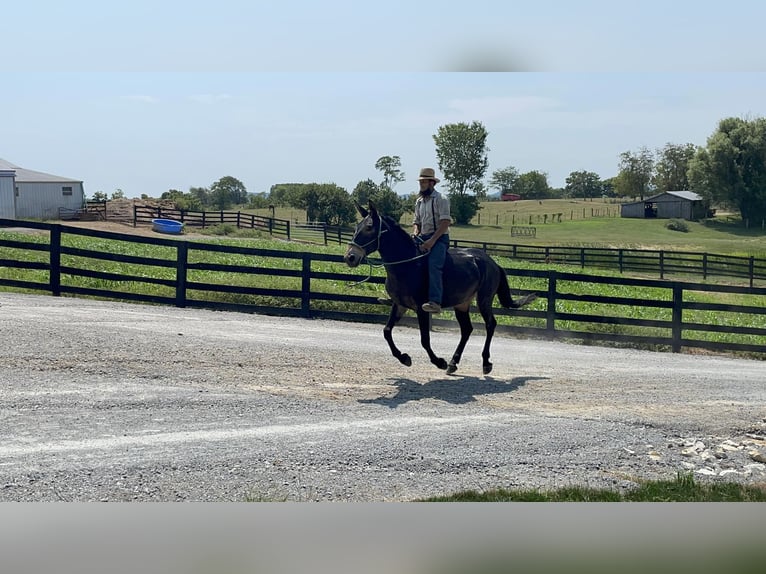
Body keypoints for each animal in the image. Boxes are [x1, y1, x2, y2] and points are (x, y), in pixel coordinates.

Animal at [344, 202, 537, 375]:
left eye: (369, 227)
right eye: (357, 226)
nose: (350, 257)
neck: (408, 265)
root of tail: (492, 262)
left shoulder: (421, 308)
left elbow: (424, 340)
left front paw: (439, 362)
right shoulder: (399, 305)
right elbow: (386, 332)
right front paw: (404, 358)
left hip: (484, 299)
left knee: (490, 325)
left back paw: (485, 363)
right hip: (462, 303)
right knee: (467, 329)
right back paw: (453, 363)